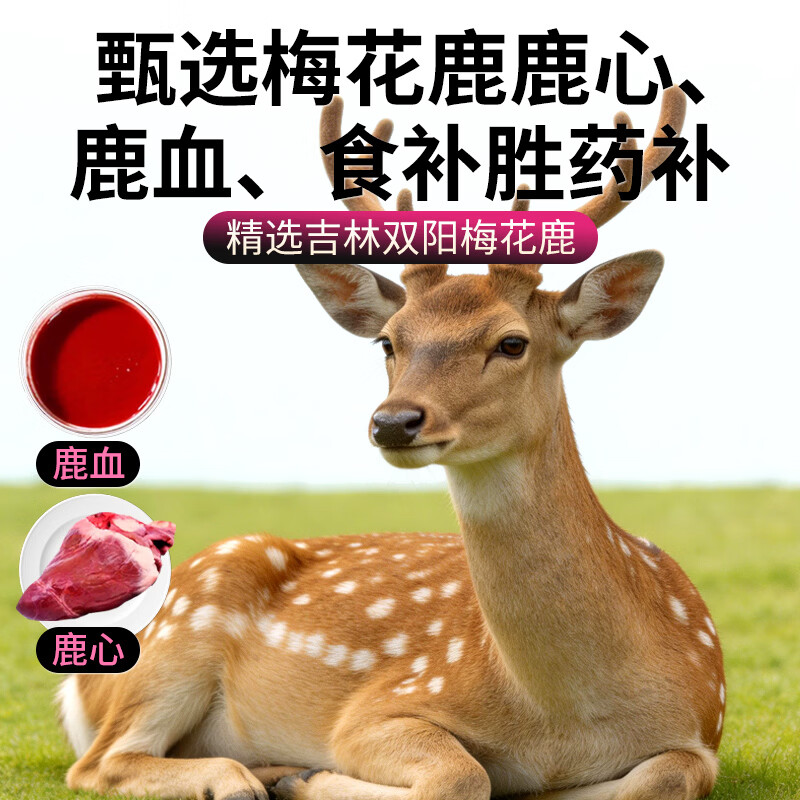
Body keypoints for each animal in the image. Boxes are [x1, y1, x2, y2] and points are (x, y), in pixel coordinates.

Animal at [60, 86, 725, 800]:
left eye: (512, 342)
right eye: (388, 340)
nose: (393, 421)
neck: (562, 723)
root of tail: (80, 684)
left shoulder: (703, 725)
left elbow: (665, 776)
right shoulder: (379, 706)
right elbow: (462, 774)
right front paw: (316, 776)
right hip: (187, 621)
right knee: (100, 761)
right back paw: (257, 775)